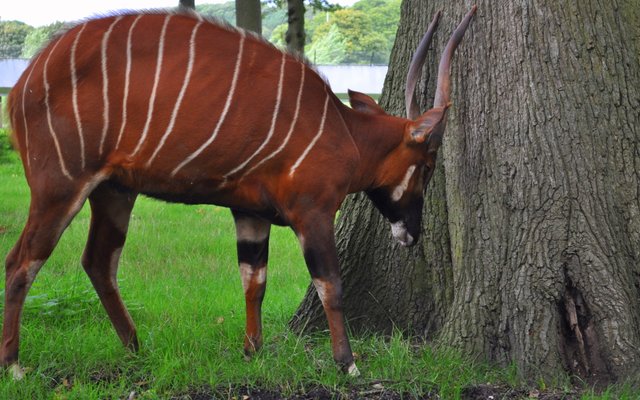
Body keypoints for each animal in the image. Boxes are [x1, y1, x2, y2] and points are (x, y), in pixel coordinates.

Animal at [1, 4, 476, 376]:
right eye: (427, 166)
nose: (411, 233)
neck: (345, 132)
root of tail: (22, 84)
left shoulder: (251, 214)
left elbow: (254, 281)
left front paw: (252, 351)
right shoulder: (313, 212)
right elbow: (330, 284)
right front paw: (347, 364)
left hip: (114, 191)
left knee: (98, 261)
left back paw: (135, 348)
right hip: (60, 186)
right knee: (22, 260)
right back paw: (15, 365)